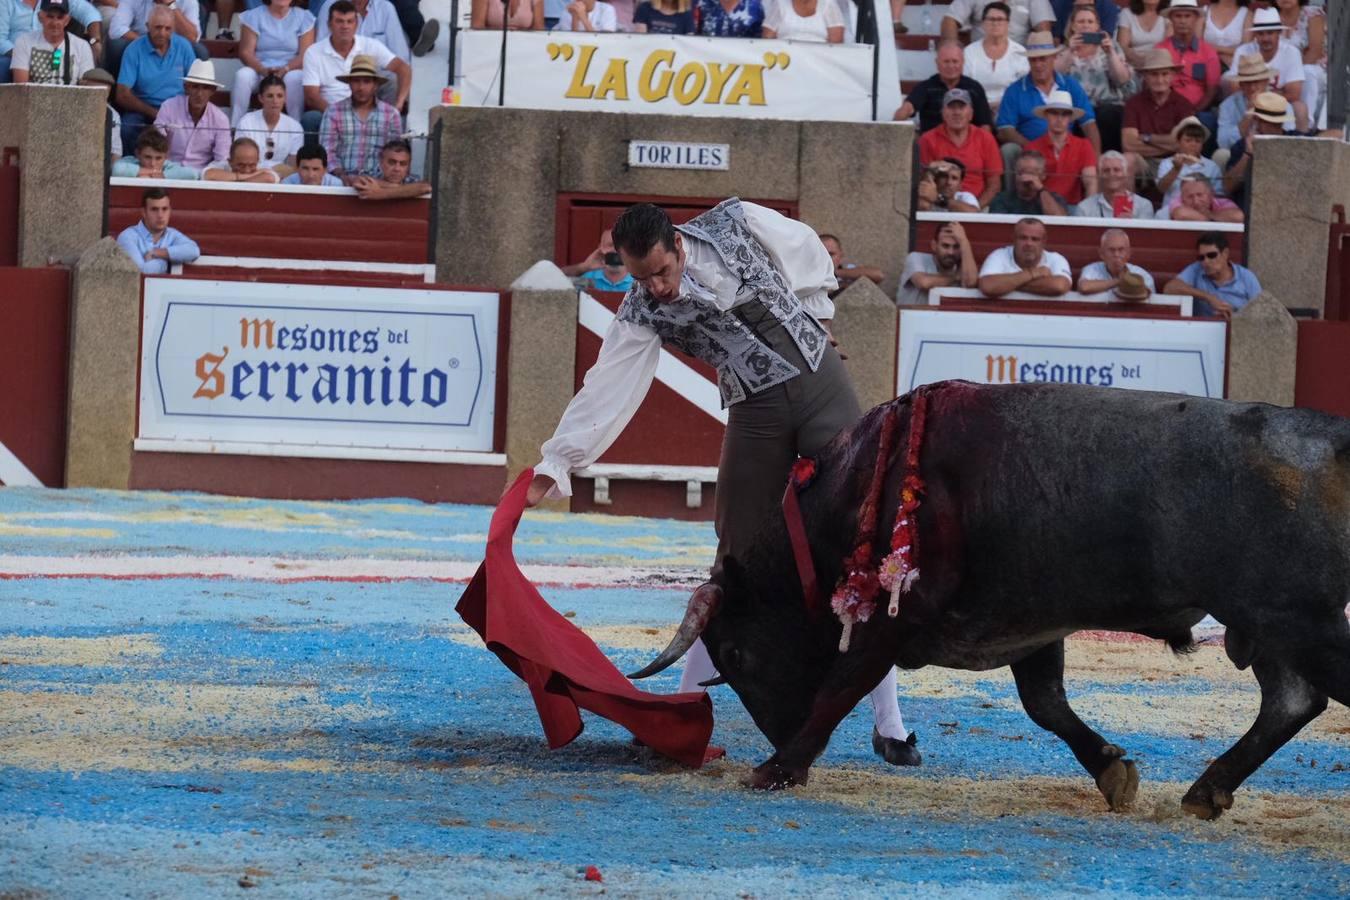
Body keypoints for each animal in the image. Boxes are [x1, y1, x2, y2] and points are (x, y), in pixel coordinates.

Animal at [631, 383, 1350, 820]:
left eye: (736, 654)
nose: (781, 733)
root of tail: (1328, 436)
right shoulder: (1033, 626)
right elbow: (1046, 705)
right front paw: (1111, 771)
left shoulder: (895, 619)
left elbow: (840, 686)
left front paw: (779, 767)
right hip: (1273, 622)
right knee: (1292, 700)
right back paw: (1208, 789)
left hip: (1295, 618)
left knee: (1302, 696)